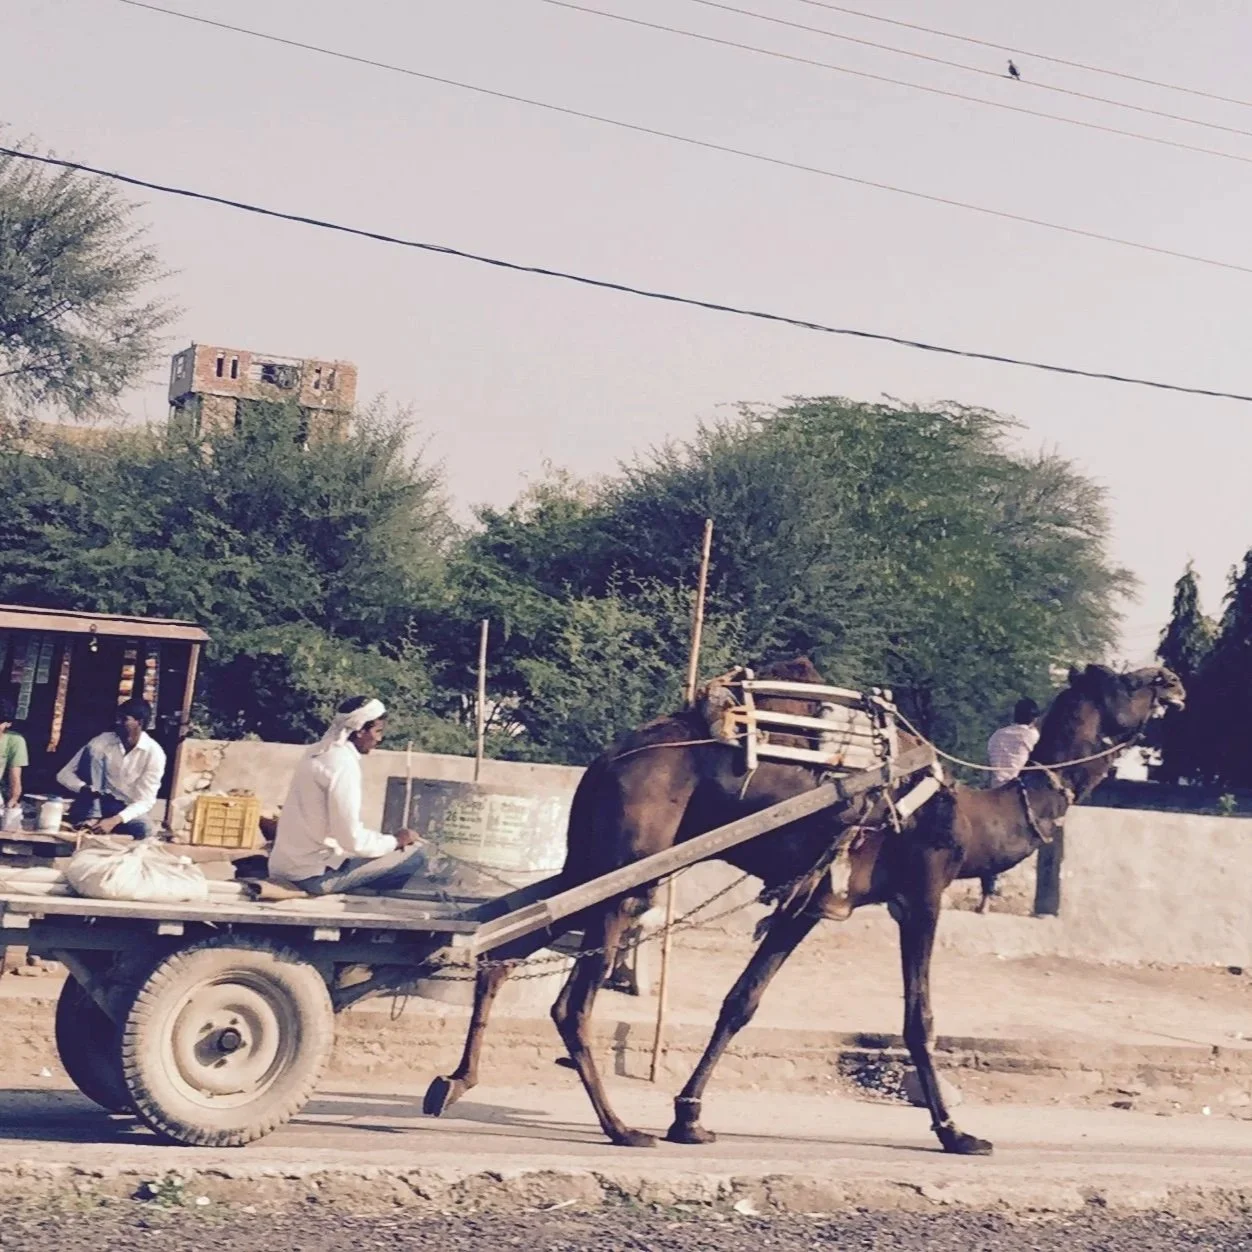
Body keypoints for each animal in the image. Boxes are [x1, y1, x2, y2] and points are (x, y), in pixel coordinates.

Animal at [424, 659, 1184, 1156]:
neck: (972, 820)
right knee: (569, 1000)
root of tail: (608, 760)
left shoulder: (811, 901)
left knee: (503, 949)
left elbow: (741, 1002)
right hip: (627, 865)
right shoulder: (923, 890)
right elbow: (920, 1018)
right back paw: (619, 1128)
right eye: (1126, 680)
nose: (1173, 681)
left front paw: (689, 1117)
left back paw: (453, 1084)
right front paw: (956, 1132)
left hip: (590, 857)